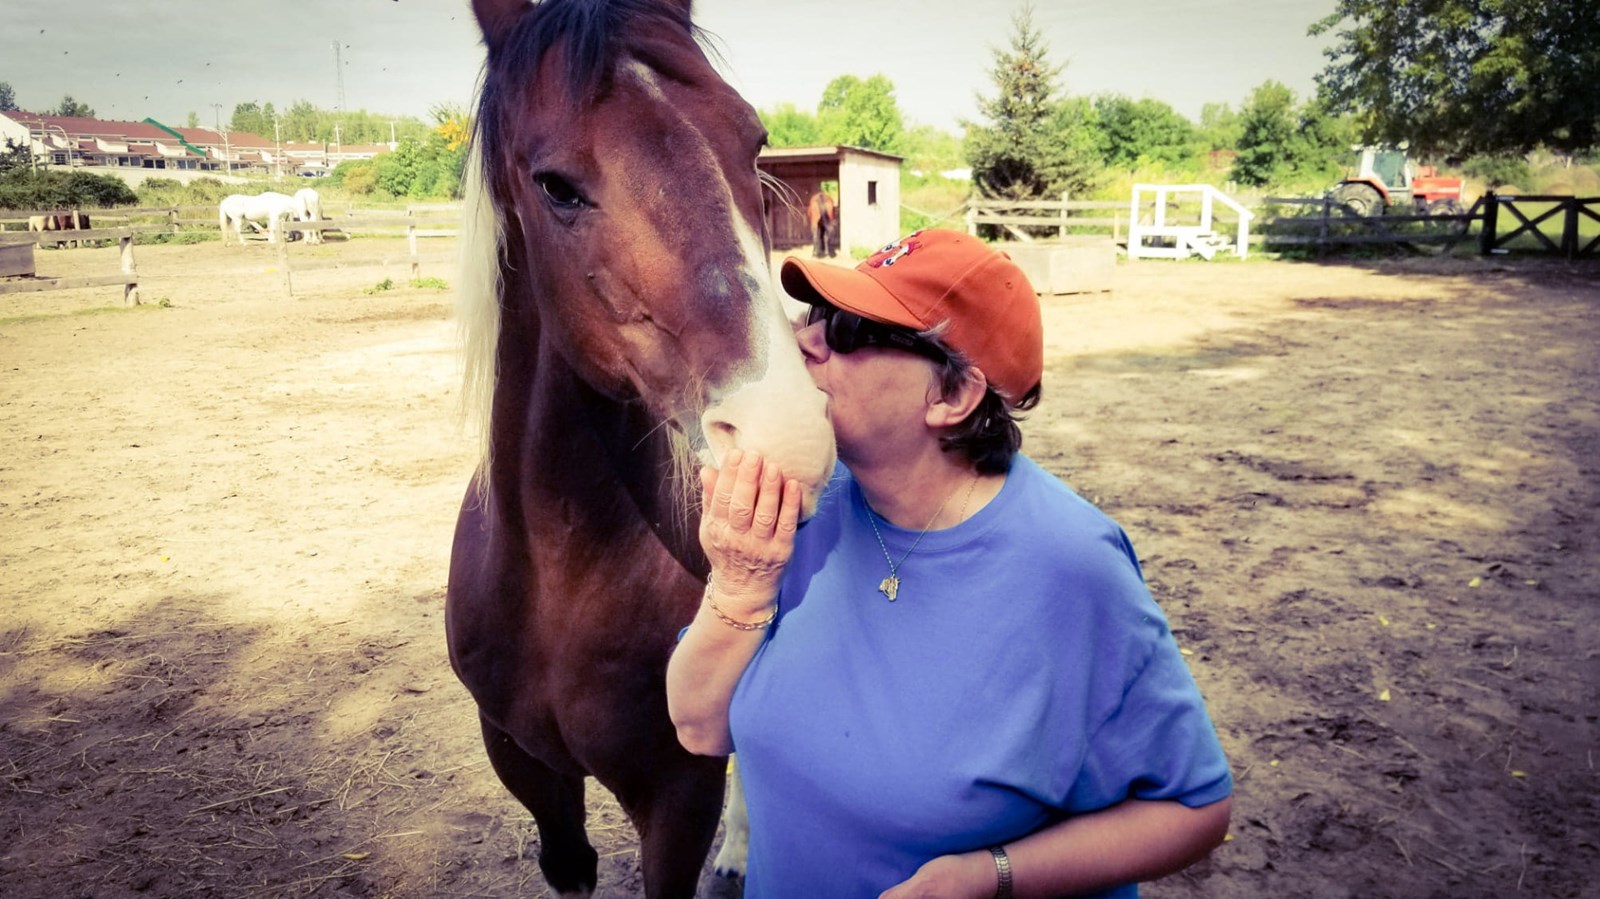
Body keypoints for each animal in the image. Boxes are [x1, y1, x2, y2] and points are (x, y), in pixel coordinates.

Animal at [448, 1, 836, 897]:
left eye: (754, 140)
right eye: (555, 184)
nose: (787, 435)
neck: (558, 580)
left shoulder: (674, 798)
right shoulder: (527, 769)